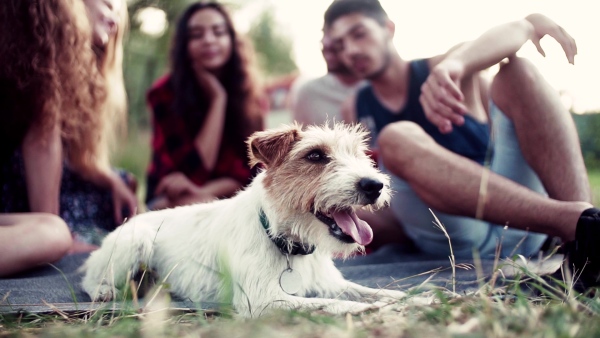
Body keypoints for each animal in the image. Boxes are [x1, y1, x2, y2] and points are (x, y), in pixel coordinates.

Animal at [81, 123, 408, 316]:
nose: (374, 185)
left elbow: (372, 292)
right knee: (89, 278)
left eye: (359, 155)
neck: (286, 242)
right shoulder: (263, 298)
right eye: (315, 156)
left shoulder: (328, 283)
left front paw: (411, 298)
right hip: (134, 243)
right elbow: (334, 304)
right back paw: (102, 290)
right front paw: (369, 309)